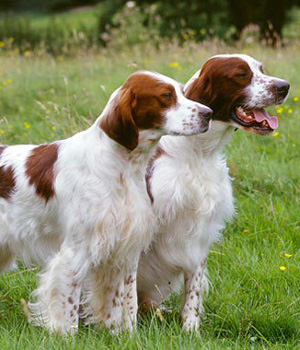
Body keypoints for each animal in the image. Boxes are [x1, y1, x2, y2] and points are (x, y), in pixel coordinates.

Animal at [0, 70, 211, 334]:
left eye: (183, 92)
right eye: (166, 95)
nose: (209, 113)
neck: (121, 167)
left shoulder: (125, 250)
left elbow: (123, 301)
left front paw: (123, 334)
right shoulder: (75, 250)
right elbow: (69, 304)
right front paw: (67, 337)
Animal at [137, 54, 290, 330]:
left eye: (261, 69)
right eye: (241, 74)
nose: (284, 86)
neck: (197, 152)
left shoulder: (200, 234)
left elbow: (193, 292)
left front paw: (190, 330)